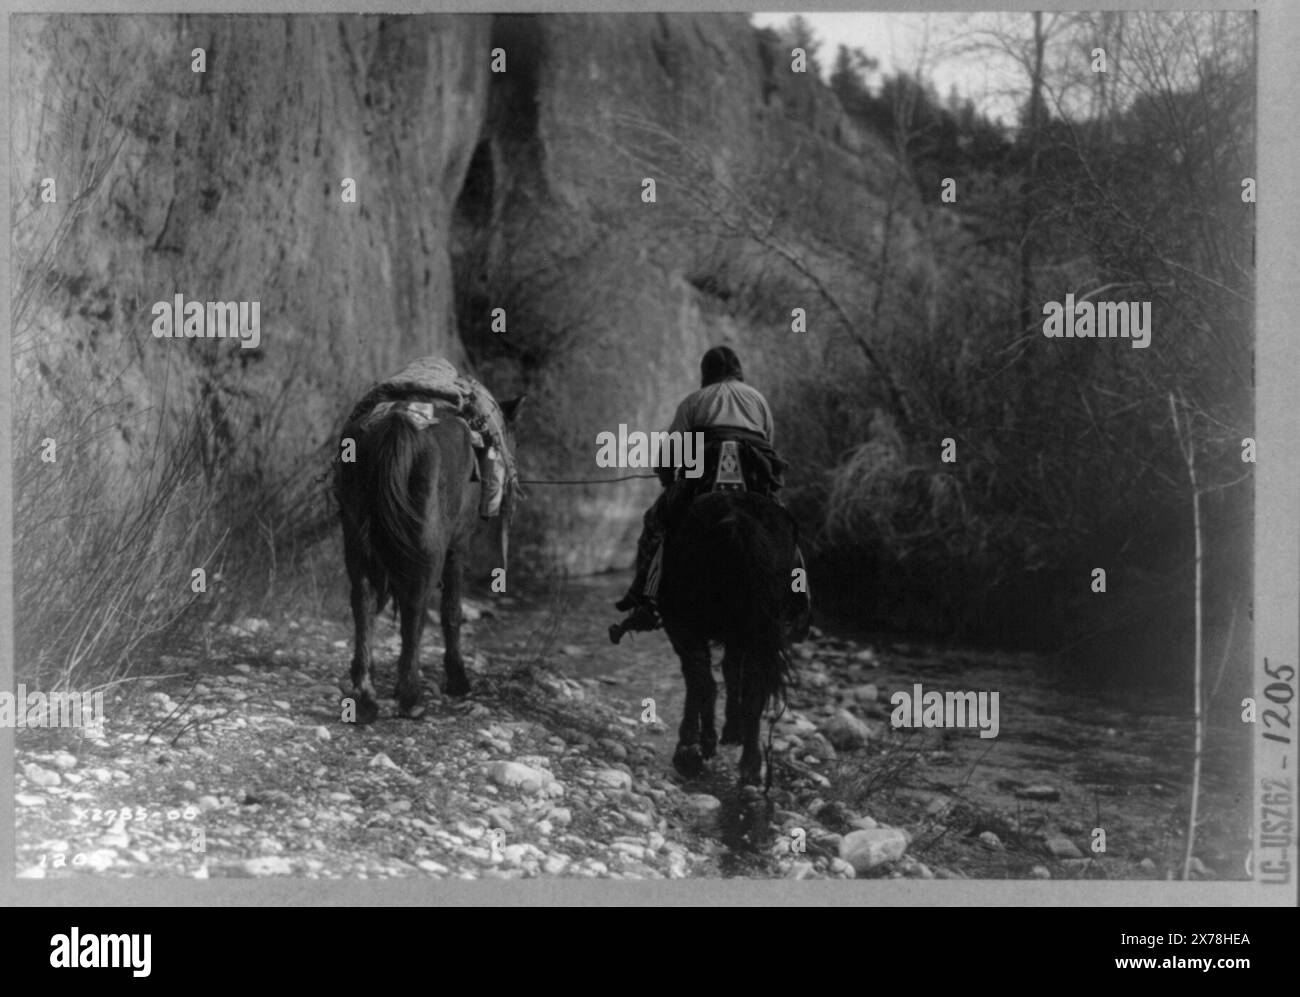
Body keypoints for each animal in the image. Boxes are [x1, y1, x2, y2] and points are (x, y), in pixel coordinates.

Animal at [335, 384, 522, 727]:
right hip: (430, 549)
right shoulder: (457, 547)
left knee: (363, 601)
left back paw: (365, 697)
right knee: (416, 605)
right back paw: (410, 697)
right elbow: (451, 611)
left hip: (355, 541)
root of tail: (397, 421)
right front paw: (457, 678)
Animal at [660, 491, 800, 790]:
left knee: (701, 677)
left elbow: (701, 678)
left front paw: (700, 741)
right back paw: (750, 766)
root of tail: (736, 521)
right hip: (756, 630)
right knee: (754, 687)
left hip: (686, 623)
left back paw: (690, 750)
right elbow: (731, 672)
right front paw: (731, 730)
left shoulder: (681, 627)